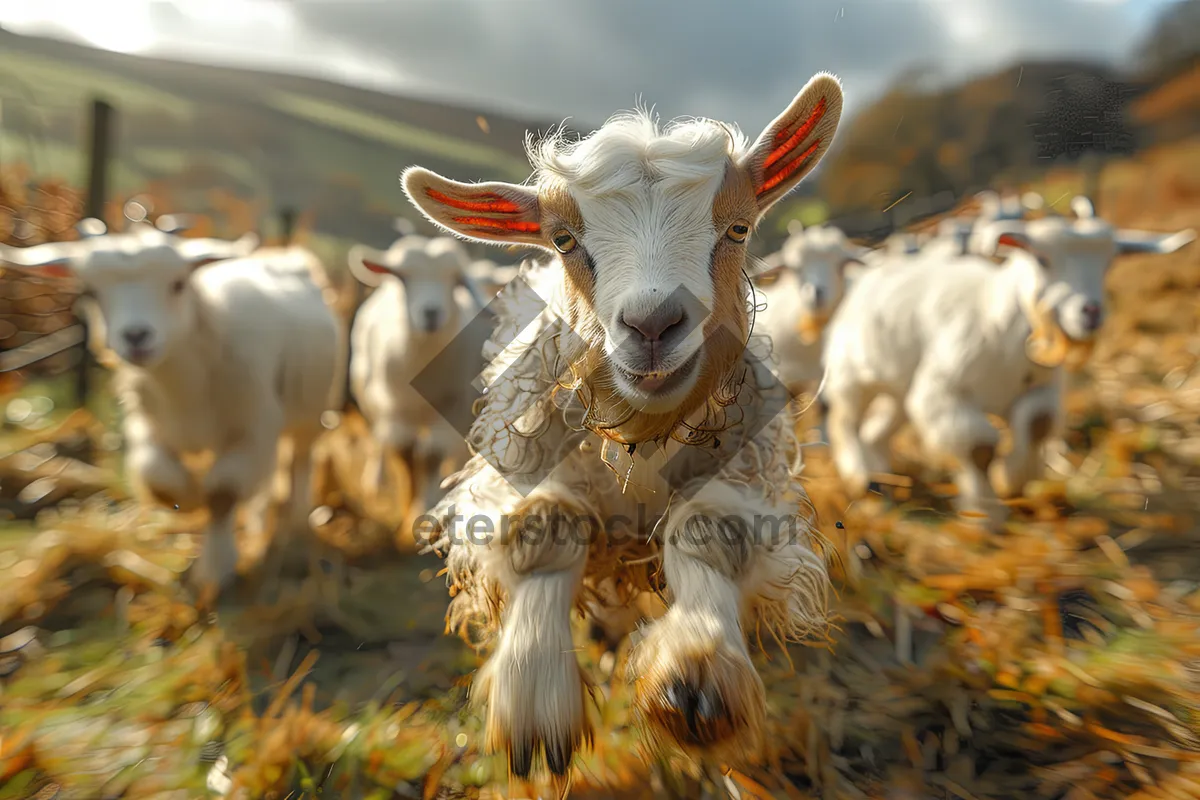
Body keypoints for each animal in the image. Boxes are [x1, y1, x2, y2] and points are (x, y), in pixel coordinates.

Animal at [0, 219, 348, 594]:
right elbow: (160, 480)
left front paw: (215, 570)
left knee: (300, 463)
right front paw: (190, 501)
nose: (137, 337)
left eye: (178, 284)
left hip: (310, 413)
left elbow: (222, 493)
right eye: (89, 292)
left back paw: (295, 528)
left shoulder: (253, 429)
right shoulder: (148, 425)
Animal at [348, 235, 492, 515]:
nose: (431, 313)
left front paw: (425, 506)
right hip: (367, 390)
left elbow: (432, 455)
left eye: (455, 280)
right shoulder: (394, 407)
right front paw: (409, 503)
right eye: (402, 278)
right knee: (380, 439)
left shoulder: (455, 407)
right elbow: (404, 451)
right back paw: (375, 480)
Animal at [396, 73, 844, 782]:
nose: (653, 325)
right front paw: (535, 697)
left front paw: (699, 674)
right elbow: (544, 527)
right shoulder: (520, 467)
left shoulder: (741, 472)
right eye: (562, 240)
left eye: (738, 227)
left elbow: (710, 531)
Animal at [820, 199, 1195, 525]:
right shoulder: (943, 390)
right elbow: (979, 447)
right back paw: (859, 477)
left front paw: (1014, 479)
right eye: (1042, 259)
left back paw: (881, 476)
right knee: (844, 420)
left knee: (878, 428)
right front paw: (985, 514)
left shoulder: (1040, 388)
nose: (1091, 312)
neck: (996, 319)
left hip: (899, 386)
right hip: (849, 373)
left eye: (1110, 261)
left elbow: (1038, 424)